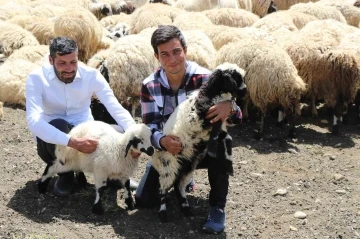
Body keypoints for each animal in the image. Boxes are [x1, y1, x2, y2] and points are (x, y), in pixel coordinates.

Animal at [150, 62, 246, 223]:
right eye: (236, 78)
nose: (245, 91)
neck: (211, 95)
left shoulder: (221, 125)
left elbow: (227, 139)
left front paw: (228, 165)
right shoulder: (197, 119)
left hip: (187, 167)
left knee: (179, 187)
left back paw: (186, 209)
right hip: (169, 167)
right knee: (162, 190)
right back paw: (163, 214)